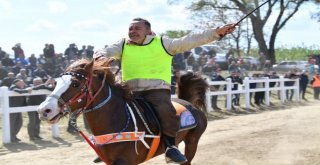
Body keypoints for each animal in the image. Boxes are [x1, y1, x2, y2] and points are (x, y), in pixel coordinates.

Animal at [37, 57, 209, 164]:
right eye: (56, 83)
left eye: (75, 84)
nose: (44, 110)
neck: (116, 120)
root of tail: (188, 103)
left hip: (192, 143)